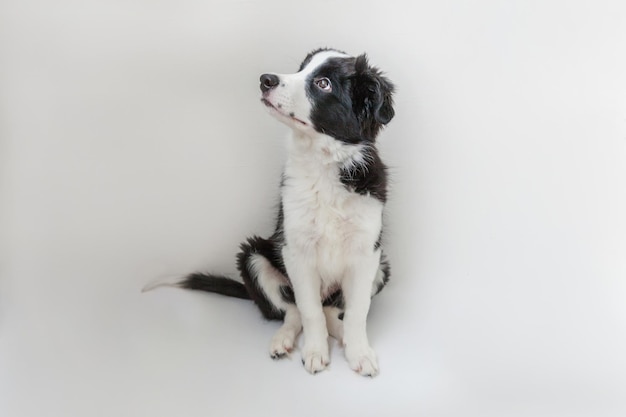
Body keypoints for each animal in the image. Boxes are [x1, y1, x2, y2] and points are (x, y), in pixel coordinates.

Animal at [144, 47, 392, 376]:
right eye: (300, 69)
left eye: (323, 83)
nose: (265, 80)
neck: (323, 163)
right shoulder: (295, 250)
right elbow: (308, 311)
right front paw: (315, 352)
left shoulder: (367, 253)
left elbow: (356, 312)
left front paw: (359, 352)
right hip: (254, 256)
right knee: (293, 311)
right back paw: (284, 340)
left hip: (382, 267)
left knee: (332, 310)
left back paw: (338, 334)